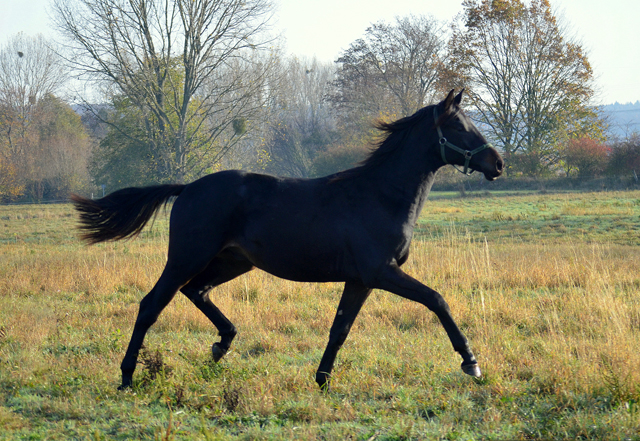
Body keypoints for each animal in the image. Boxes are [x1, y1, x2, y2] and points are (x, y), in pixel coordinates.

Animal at [72, 89, 504, 388]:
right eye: (459, 126)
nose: (498, 163)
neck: (379, 196)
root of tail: (187, 187)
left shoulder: (360, 280)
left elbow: (340, 329)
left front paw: (322, 380)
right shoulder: (381, 272)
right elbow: (437, 299)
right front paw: (471, 362)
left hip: (233, 262)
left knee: (196, 291)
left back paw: (222, 344)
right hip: (185, 258)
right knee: (152, 305)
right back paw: (128, 377)